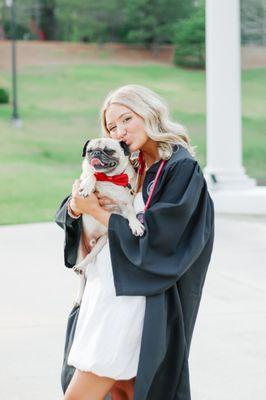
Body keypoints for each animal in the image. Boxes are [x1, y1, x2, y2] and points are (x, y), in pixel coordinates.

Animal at [71, 138, 144, 306]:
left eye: (109, 151)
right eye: (90, 151)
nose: (96, 153)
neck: (109, 178)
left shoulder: (125, 203)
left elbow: (131, 213)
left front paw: (136, 225)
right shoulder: (83, 178)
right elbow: (92, 175)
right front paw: (87, 187)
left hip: (102, 242)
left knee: (89, 259)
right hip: (79, 250)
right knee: (82, 278)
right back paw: (78, 295)